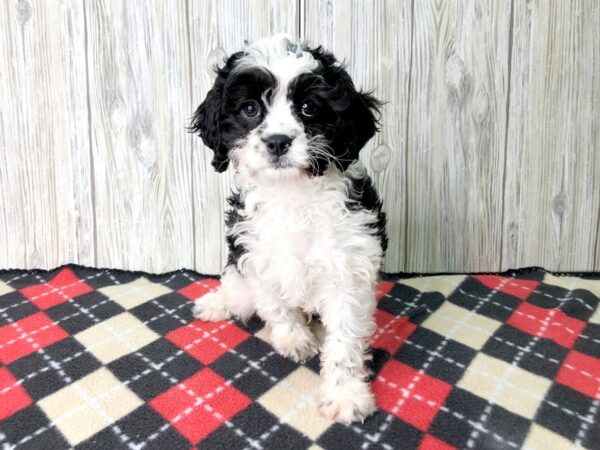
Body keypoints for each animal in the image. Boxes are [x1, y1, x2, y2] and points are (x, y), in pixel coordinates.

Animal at [190, 34, 386, 422]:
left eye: (309, 107)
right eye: (250, 109)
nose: (278, 141)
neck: (292, 193)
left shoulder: (347, 268)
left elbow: (345, 336)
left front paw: (345, 394)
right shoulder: (255, 252)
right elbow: (274, 303)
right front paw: (294, 339)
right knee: (238, 292)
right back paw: (217, 303)